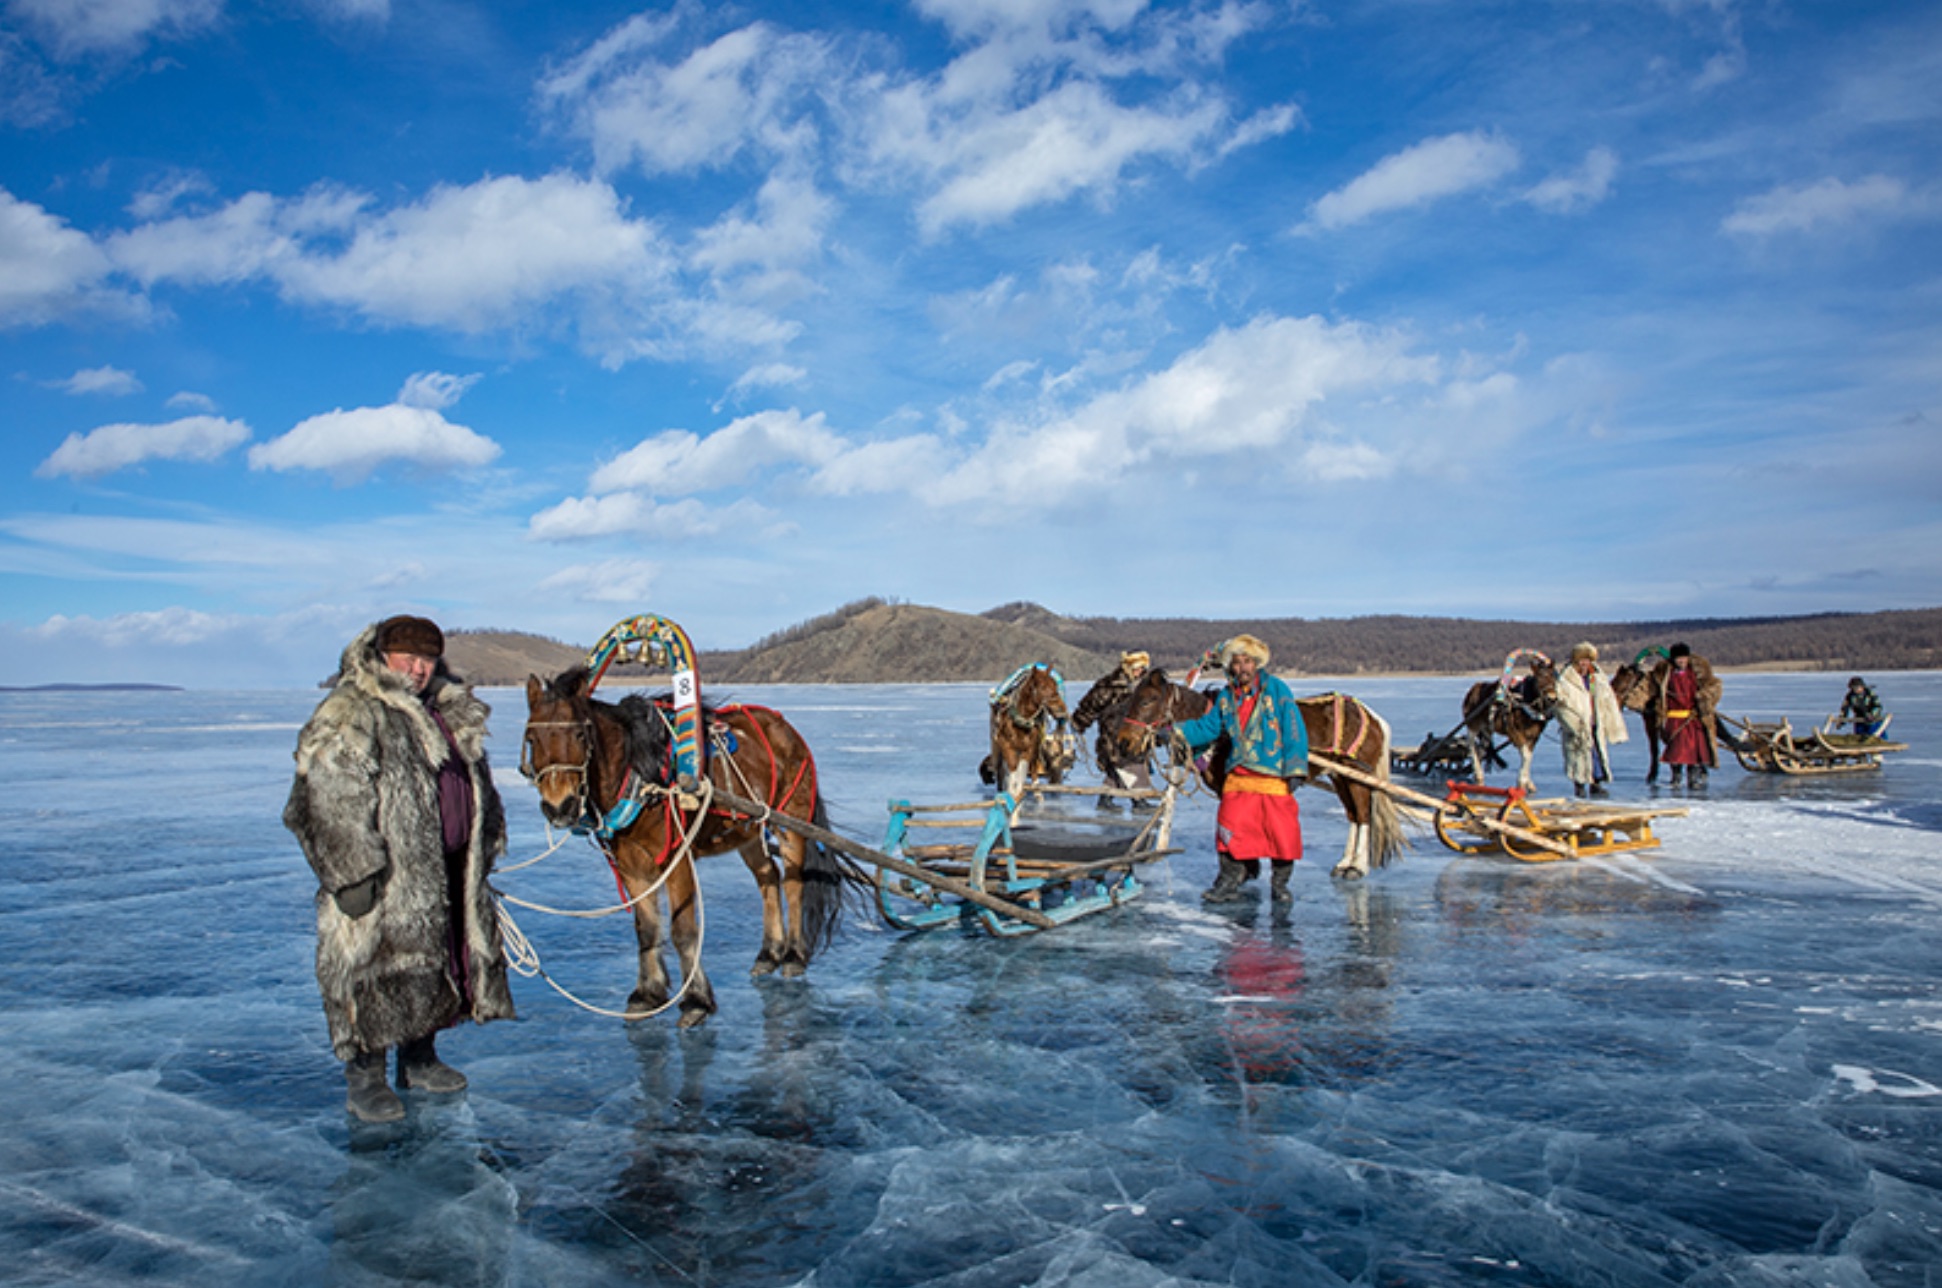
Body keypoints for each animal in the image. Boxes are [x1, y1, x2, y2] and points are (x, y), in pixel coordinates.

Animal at [524, 668, 873, 1033]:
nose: (559, 806)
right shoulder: (630, 864)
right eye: (531, 739)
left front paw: (696, 1000)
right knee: (768, 878)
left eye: (580, 734)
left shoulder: (677, 860)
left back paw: (793, 955)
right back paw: (769, 953)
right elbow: (646, 930)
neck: (642, 775)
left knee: (793, 884)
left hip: (791, 823)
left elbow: (683, 932)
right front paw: (647, 994)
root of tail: (787, 730)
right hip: (747, 832)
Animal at [978, 664, 1071, 796]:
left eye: (1055, 685)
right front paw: (1012, 791)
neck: (1020, 721)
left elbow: (1023, 769)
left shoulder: (1030, 747)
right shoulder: (1006, 745)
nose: (1061, 709)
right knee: (1002, 770)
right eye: (1042, 686)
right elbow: (1012, 769)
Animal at [1110, 668, 1413, 881]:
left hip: (1354, 774)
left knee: (1362, 816)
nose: (1123, 741)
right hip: (1340, 777)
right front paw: (1249, 868)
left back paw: (1357, 866)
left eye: (1148, 701)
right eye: (1131, 699)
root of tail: (1371, 716)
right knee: (1352, 815)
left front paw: (1246, 868)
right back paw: (1344, 862)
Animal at [1460, 648, 1561, 792]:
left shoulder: (1534, 735)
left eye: (1554, 677)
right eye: (1539, 678)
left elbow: (1529, 755)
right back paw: (1478, 774)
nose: (1552, 698)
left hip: (1487, 729)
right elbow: (1525, 754)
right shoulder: (1514, 732)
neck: (1524, 702)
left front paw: (1528, 783)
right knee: (1472, 745)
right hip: (1472, 725)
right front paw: (1521, 782)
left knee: (1482, 748)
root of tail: (1473, 689)